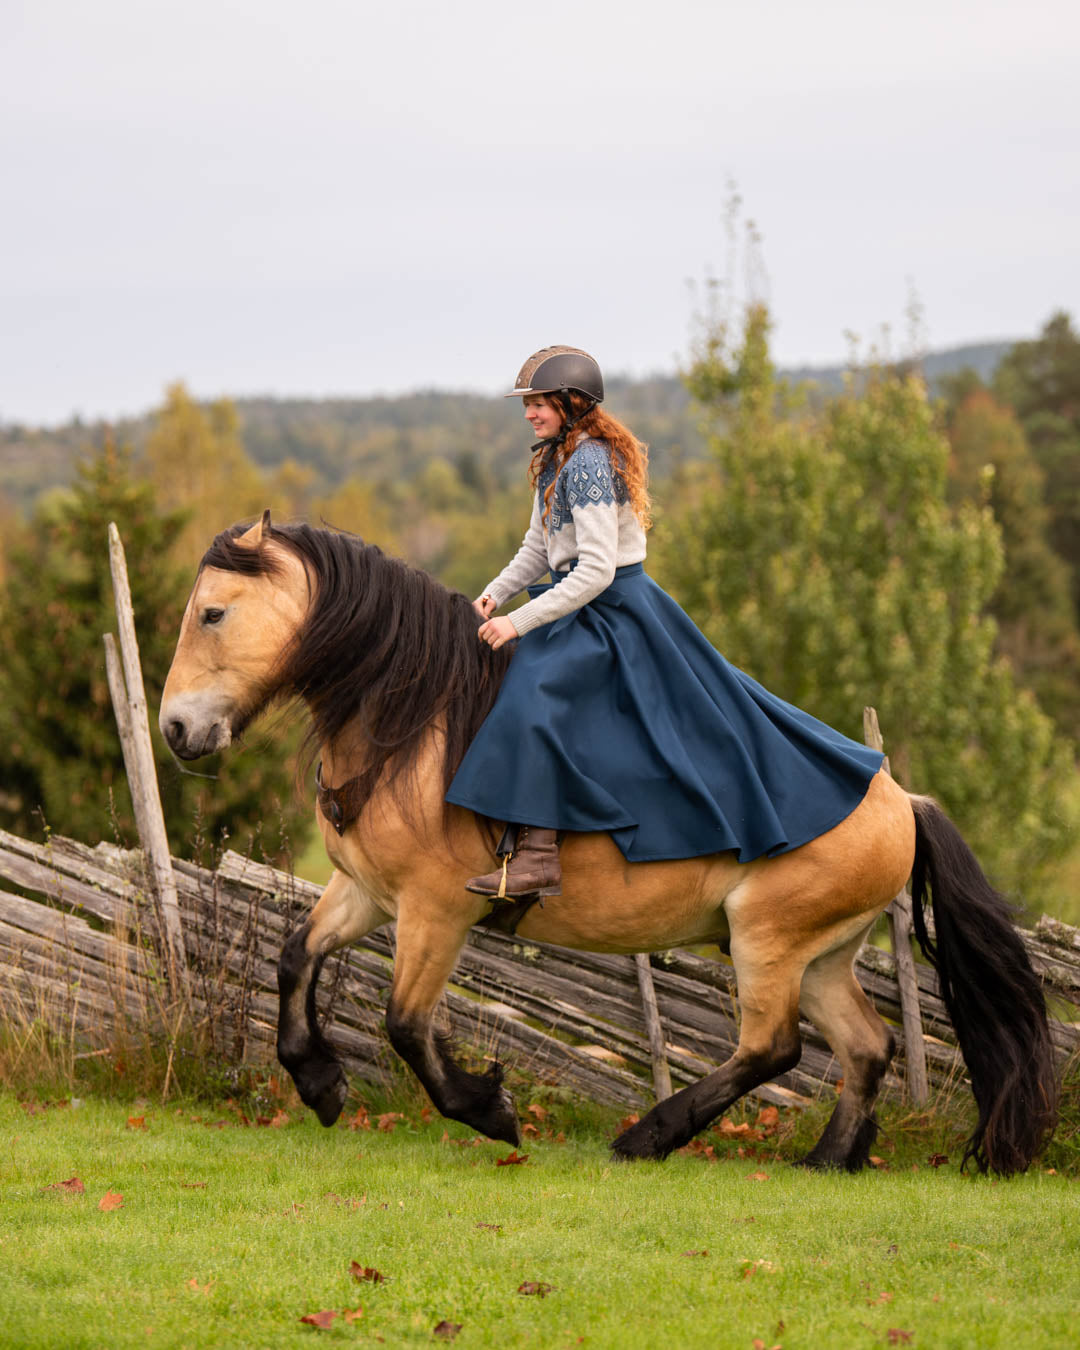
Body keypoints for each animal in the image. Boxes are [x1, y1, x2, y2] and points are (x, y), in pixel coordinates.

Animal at [157, 510, 1053, 1177]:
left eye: (213, 613)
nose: (173, 730)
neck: (415, 724)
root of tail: (898, 798)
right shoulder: (368, 896)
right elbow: (293, 957)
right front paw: (317, 1081)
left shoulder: (435, 912)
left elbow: (406, 1024)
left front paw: (489, 1111)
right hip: (821, 953)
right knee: (866, 1047)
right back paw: (829, 1159)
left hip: (767, 941)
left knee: (772, 1047)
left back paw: (649, 1136)